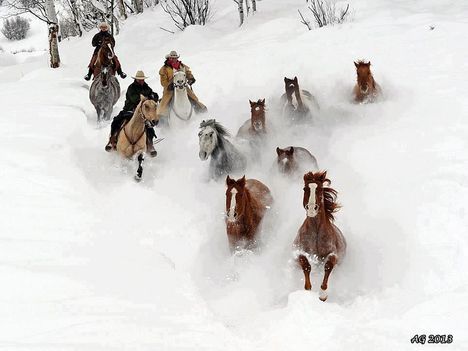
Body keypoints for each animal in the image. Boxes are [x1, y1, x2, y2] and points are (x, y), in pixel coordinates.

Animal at [294, 171, 346, 302]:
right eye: (305, 188)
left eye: (320, 189)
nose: (312, 208)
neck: (316, 234)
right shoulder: (300, 252)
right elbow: (306, 266)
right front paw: (308, 290)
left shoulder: (333, 254)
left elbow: (328, 266)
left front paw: (323, 295)